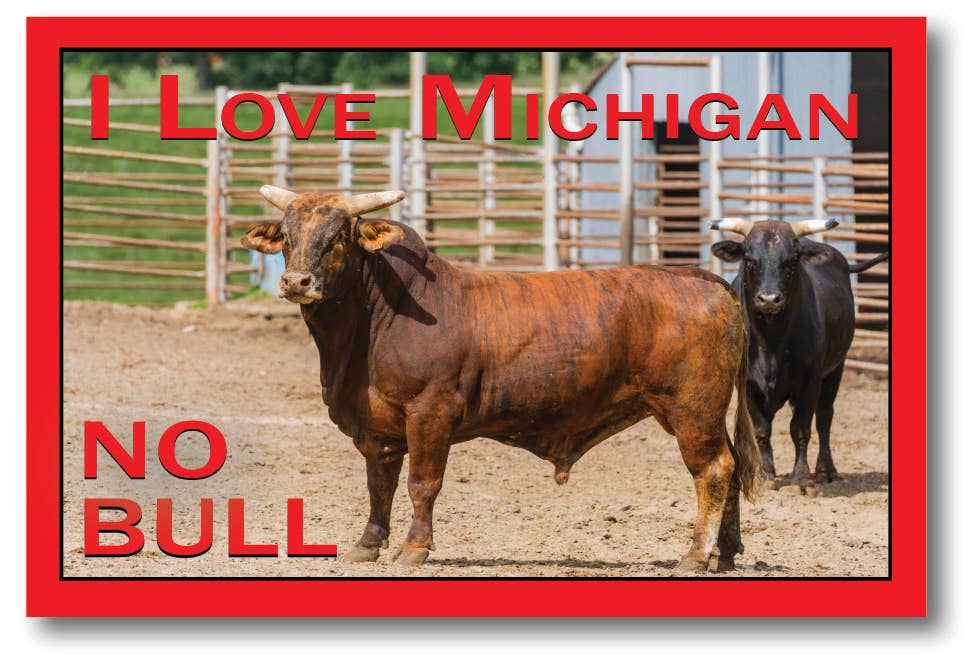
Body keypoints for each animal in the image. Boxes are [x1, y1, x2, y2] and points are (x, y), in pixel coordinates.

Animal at [242, 185, 761, 572]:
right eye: (286, 235)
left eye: (338, 237)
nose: (295, 282)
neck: (369, 329)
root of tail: (700, 278)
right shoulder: (376, 426)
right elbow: (379, 484)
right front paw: (368, 545)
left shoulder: (430, 412)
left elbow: (421, 483)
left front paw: (413, 549)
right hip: (704, 413)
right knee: (733, 467)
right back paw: (726, 554)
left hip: (691, 409)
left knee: (713, 469)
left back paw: (694, 555)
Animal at [710, 218, 889, 492]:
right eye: (749, 259)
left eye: (792, 261)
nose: (769, 298)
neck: (771, 342)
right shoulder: (747, 384)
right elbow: (761, 429)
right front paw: (765, 474)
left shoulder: (810, 380)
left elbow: (801, 428)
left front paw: (802, 478)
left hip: (836, 369)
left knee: (824, 417)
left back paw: (826, 470)